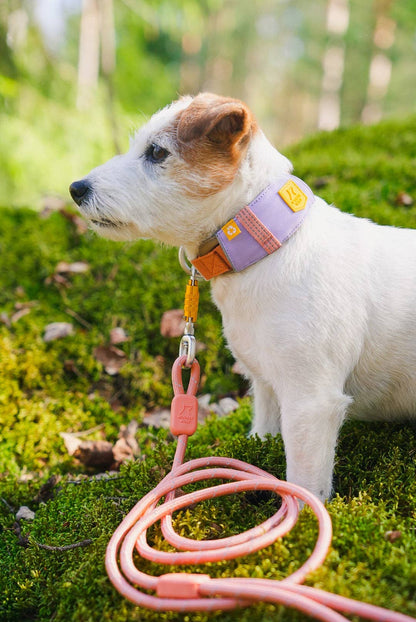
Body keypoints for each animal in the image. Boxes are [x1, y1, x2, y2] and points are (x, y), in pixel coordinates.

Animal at [70, 92, 416, 502]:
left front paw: (302, 517)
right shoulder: (267, 388)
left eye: (157, 152)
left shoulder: (311, 402)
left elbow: (305, 483)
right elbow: (263, 433)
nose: (76, 189)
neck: (269, 248)